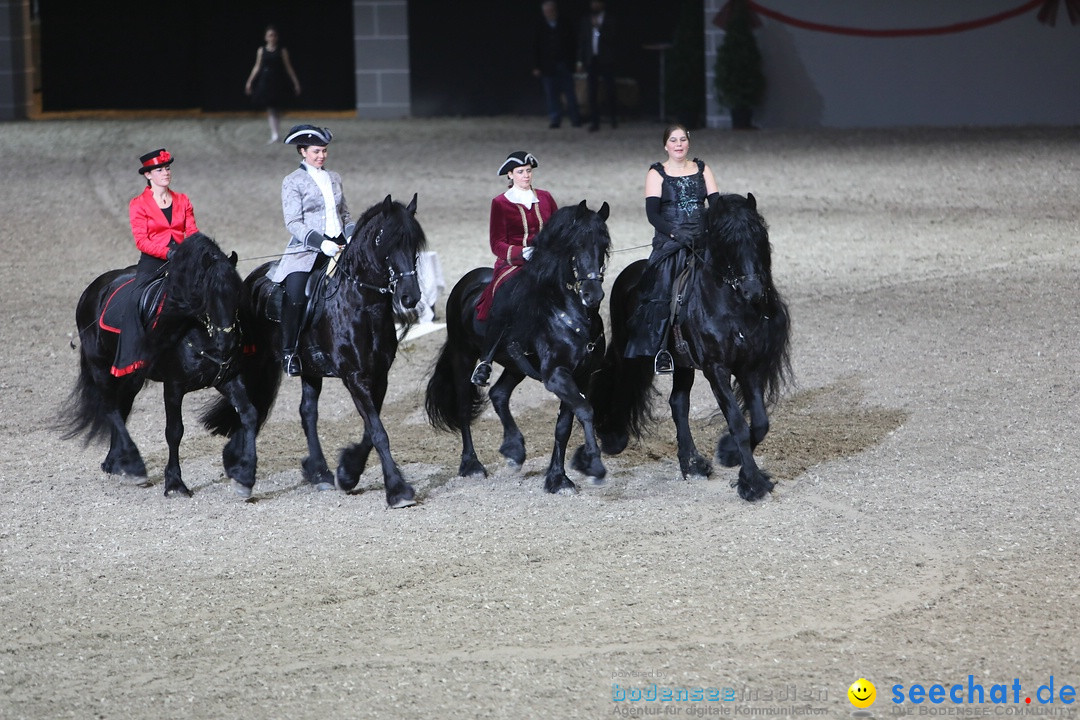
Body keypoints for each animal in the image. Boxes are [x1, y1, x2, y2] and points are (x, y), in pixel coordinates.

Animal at [59, 234, 263, 498]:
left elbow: (249, 415)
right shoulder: (173, 386)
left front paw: (244, 478)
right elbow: (174, 431)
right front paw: (175, 483)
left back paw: (116, 462)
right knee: (110, 407)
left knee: (120, 409)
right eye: (207, 295)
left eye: (238, 293)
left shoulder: (227, 379)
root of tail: (92, 290)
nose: (226, 343)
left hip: (130, 378)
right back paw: (134, 466)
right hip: (100, 368)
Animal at [203, 191, 425, 507]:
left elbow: (371, 431)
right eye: (385, 240)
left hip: (309, 368)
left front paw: (347, 473)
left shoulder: (378, 376)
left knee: (305, 412)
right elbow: (378, 432)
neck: (361, 304)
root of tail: (251, 279)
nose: (410, 296)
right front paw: (398, 491)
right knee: (246, 402)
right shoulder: (354, 376)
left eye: (414, 243)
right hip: (252, 359)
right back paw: (242, 471)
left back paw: (318, 472)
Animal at [421, 201, 609, 496]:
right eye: (576, 245)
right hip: (463, 356)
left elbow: (565, 425)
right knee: (464, 408)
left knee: (498, 394)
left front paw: (558, 478)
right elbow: (585, 410)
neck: (570, 314)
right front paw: (593, 466)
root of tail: (468, 281)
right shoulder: (557, 375)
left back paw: (514, 450)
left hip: (515, 365)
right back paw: (472, 465)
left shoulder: (580, 375)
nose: (593, 295)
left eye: (604, 245)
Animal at [587, 191, 790, 500]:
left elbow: (759, 422)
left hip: (682, 363)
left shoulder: (748, 367)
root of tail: (631, 272)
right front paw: (753, 483)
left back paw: (691, 464)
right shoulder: (716, 369)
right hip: (630, 353)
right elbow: (738, 423)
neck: (730, 307)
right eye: (727, 242)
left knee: (678, 403)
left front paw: (729, 455)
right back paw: (611, 439)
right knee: (617, 381)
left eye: (759, 237)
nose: (753, 291)